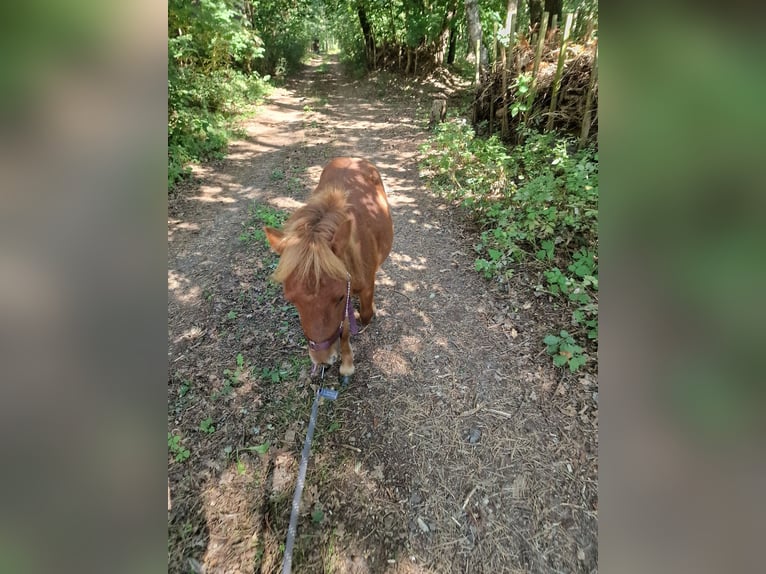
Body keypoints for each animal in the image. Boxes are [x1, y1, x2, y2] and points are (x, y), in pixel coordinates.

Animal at [266, 160, 396, 380]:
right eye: (291, 300)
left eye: (339, 297)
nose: (322, 360)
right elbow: (343, 327)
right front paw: (346, 361)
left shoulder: (362, 288)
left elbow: (364, 314)